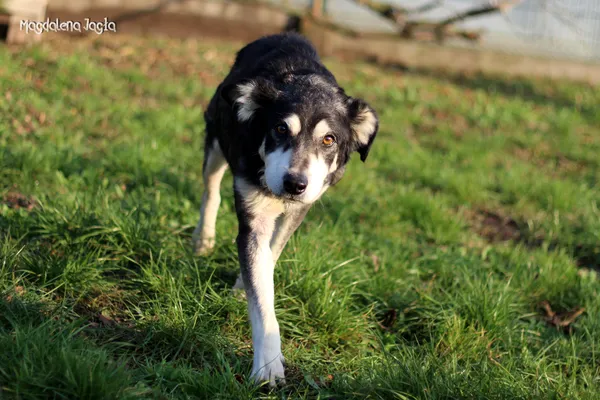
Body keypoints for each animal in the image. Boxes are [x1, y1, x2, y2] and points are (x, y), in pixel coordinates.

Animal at [193, 33, 380, 384]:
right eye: (280, 129)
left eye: (329, 140)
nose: (295, 184)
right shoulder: (254, 216)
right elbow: (262, 295)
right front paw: (267, 367)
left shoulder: (297, 212)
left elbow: (269, 257)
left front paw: (244, 285)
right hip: (215, 142)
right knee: (211, 190)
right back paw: (203, 240)